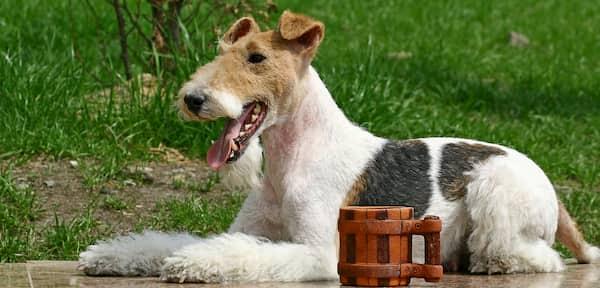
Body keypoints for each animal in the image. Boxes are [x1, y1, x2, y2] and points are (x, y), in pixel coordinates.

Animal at [78, 10, 600, 282]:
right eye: (221, 52)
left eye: (256, 57)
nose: (193, 99)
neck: (290, 160)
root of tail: (552, 189)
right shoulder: (251, 229)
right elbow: (183, 240)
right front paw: (111, 256)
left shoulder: (316, 251)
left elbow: (235, 254)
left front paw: (192, 263)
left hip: (495, 191)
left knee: (532, 256)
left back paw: (487, 262)